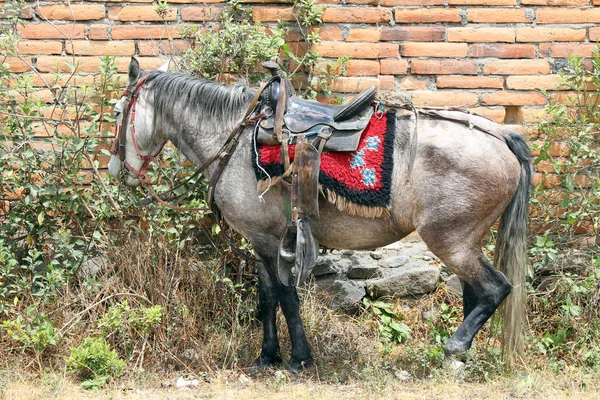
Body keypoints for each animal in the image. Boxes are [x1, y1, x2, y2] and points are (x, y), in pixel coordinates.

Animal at [108, 58, 528, 372]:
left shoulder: (267, 240)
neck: (238, 138)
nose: (116, 170)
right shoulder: (262, 240)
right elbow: (267, 297)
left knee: (495, 288)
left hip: (450, 240)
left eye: (117, 110)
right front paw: (267, 356)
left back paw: (454, 349)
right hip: (464, 242)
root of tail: (500, 135)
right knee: (475, 293)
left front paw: (298, 359)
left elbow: (285, 295)